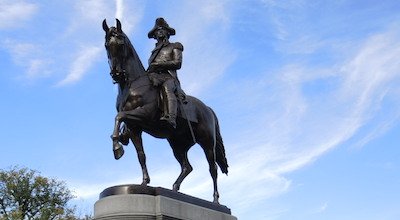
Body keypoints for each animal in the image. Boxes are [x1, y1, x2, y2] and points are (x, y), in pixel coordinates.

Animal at [103, 18, 228, 203]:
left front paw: (117, 148)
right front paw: (144, 182)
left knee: (212, 169)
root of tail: (208, 109)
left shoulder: (144, 115)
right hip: (178, 143)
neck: (132, 85)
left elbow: (119, 116)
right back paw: (175, 189)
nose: (116, 73)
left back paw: (215, 200)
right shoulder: (134, 128)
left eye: (120, 42)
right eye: (107, 45)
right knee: (187, 166)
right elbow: (141, 155)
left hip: (207, 143)